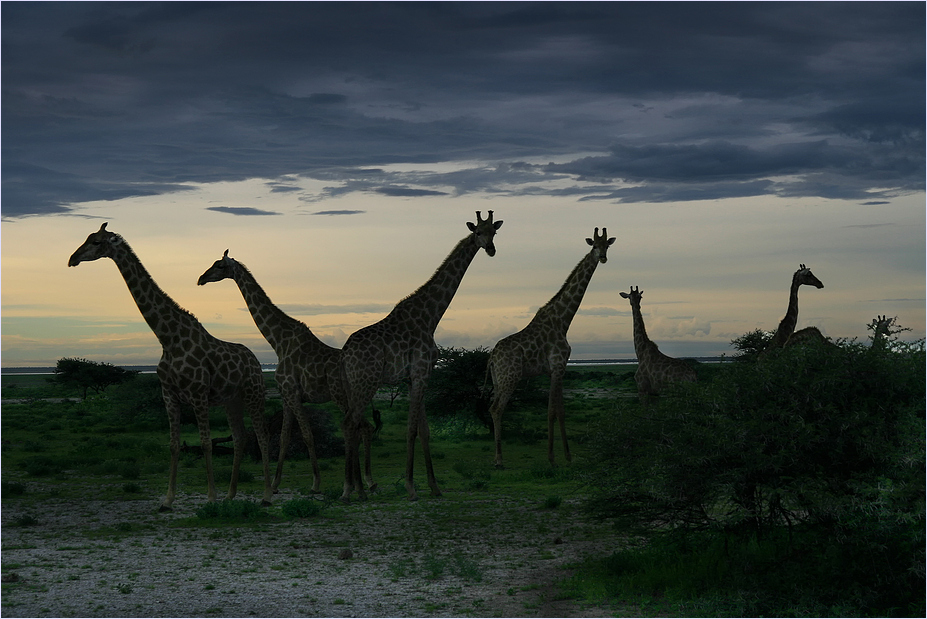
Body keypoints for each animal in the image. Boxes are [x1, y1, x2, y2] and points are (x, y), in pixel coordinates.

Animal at [67, 225, 274, 512]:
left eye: (96, 242)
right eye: (86, 239)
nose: (72, 259)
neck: (168, 338)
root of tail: (255, 360)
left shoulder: (198, 395)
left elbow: (206, 444)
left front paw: (211, 498)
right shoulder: (169, 395)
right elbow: (174, 445)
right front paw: (168, 500)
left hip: (254, 394)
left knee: (263, 436)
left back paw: (266, 496)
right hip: (231, 400)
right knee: (241, 437)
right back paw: (231, 495)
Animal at [198, 249, 378, 496]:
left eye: (219, 265)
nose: (201, 278)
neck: (278, 341)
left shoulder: (292, 392)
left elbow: (307, 435)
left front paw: (315, 483)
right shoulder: (286, 396)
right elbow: (283, 437)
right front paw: (274, 485)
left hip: (341, 396)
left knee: (358, 428)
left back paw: (360, 483)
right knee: (365, 427)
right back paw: (366, 483)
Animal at [338, 211, 500, 502]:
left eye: (494, 231)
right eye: (477, 232)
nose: (491, 249)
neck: (431, 317)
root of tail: (344, 355)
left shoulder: (418, 377)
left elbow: (425, 431)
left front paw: (434, 487)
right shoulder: (421, 372)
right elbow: (412, 429)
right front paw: (411, 487)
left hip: (351, 384)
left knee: (353, 425)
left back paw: (359, 490)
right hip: (366, 382)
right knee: (349, 423)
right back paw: (348, 491)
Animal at [486, 229, 616, 470]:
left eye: (607, 245)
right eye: (594, 245)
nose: (602, 257)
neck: (563, 320)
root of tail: (491, 358)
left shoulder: (559, 369)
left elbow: (560, 411)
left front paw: (568, 456)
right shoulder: (557, 365)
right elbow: (552, 411)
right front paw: (552, 458)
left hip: (498, 379)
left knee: (492, 408)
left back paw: (495, 457)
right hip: (510, 377)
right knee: (497, 408)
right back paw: (499, 459)